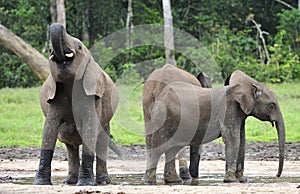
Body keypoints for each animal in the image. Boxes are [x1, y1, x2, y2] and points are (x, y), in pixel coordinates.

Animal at [32, 23, 117, 186]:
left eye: (79, 46)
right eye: (50, 51)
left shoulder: (92, 95)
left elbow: (90, 127)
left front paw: (85, 184)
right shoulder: (55, 96)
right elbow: (49, 129)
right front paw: (40, 183)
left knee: (101, 141)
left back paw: (103, 182)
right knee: (70, 145)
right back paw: (69, 181)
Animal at [143, 69, 286, 183]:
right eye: (272, 104)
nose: (277, 175)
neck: (249, 85)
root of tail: (159, 95)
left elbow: (242, 140)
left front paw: (242, 180)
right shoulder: (229, 110)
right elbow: (233, 139)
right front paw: (231, 181)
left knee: (171, 148)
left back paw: (173, 181)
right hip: (164, 118)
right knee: (158, 147)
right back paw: (150, 182)